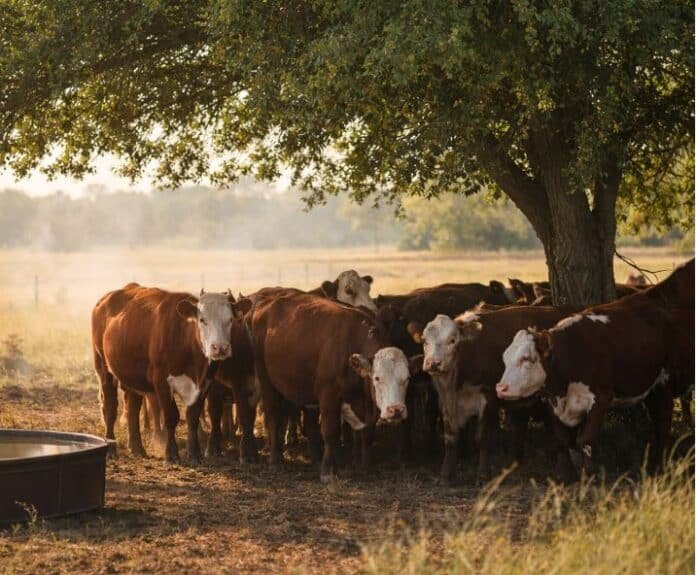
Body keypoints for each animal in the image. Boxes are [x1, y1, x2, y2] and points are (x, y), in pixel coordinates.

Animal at [92, 284, 251, 462]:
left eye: (230, 320)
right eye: (202, 320)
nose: (220, 348)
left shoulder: (204, 383)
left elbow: (193, 417)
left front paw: (194, 453)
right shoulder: (161, 381)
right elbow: (171, 416)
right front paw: (171, 453)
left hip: (131, 376)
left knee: (132, 408)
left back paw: (137, 448)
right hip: (103, 367)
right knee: (110, 408)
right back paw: (111, 449)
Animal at [249, 292, 414, 482]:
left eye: (407, 378)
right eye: (377, 378)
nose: (396, 410)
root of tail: (266, 303)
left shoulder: (367, 404)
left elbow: (367, 434)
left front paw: (366, 467)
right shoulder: (329, 395)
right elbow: (331, 432)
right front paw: (328, 470)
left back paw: (314, 458)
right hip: (267, 381)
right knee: (274, 416)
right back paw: (275, 460)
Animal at [408, 304, 580, 482]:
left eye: (452, 340)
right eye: (425, 341)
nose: (433, 363)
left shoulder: (488, 396)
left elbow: (482, 438)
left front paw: (483, 474)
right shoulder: (445, 401)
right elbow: (450, 437)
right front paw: (446, 475)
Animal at [496, 259, 694, 480]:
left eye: (527, 358)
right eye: (505, 359)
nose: (501, 388)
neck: (572, 353)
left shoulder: (600, 398)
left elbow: (586, 440)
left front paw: (588, 477)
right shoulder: (553, 402)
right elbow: (562, 440)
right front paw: (562, 476)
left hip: (665, 383)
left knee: (663, 423)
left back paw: (660, 465)